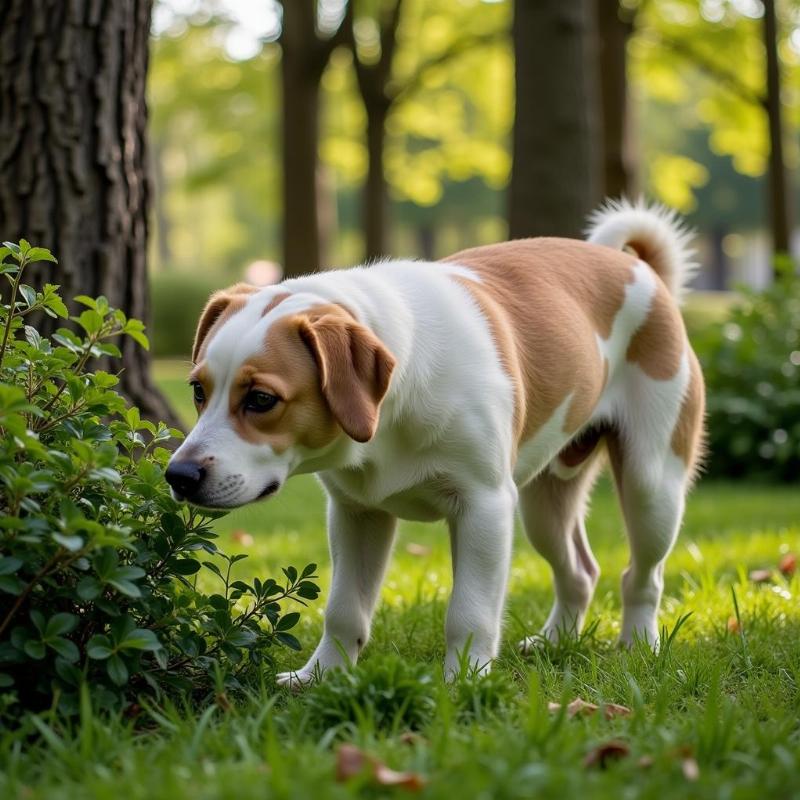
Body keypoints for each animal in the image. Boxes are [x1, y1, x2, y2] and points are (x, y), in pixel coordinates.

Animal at [166, 198, 704, 680]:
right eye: (198, 390)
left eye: (261, 399)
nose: (179, 475)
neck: (390, 414)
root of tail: (637, 268)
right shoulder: (356, 513)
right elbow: (344, 610)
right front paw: (320, 676)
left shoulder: (485, 507)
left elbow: (468, 613)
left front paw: (464, 682)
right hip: (543, 504)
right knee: (579, 571)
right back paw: (556, 641)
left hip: (650, 486)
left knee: (643, 576)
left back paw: (638, 644)